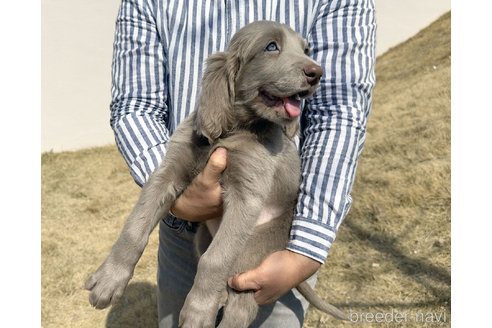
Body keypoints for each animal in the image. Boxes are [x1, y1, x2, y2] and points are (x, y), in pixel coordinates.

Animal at [84, 21, 348, 328]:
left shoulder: (246, 195)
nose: (317, 73)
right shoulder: (168, 172)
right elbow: (135, 226)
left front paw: (198, 313)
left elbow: (215, 261)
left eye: (307, 50)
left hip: (253, 250)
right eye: (271, 47)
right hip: (203, 239)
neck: (232, 130)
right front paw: (109, 280)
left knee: (240, 305)